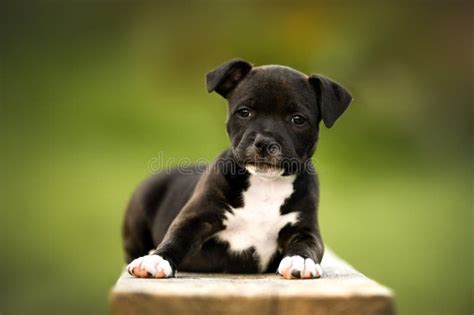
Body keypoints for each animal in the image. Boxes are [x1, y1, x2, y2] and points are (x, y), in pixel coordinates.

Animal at [122, 58, 352, 278]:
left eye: (298, 119)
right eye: (244, 112)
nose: (264, 142)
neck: (265, 184)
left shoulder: (305, 228)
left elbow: (307, 245)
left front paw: (301, 260)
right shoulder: (196, 217)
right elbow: (177, 238)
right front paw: (157, 259)